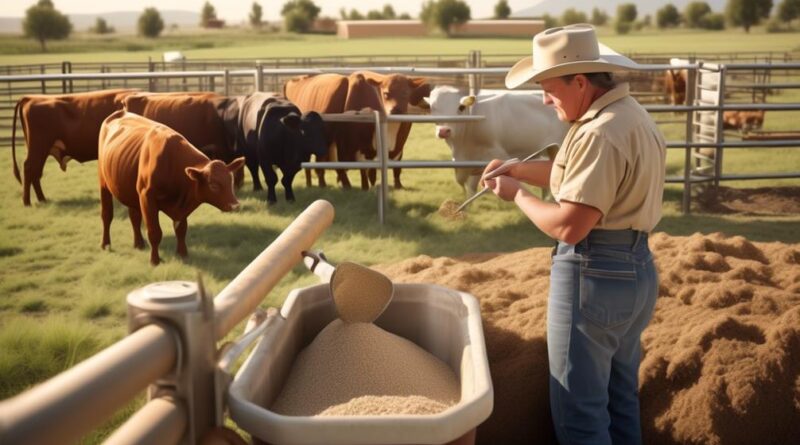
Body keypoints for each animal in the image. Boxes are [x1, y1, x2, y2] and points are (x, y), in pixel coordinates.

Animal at [96, 109, 242, 266]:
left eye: (231, 181)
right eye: (213, 185)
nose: (235, 205)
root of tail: (120, 112)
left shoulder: (180, 207)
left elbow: (181, 229)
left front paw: (183, 254)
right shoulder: (147, 197)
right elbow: (154, 232)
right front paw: (155, 260)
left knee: (134, 216)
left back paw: (139, 244)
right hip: (104, 184)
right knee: (107, 215)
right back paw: (105, 244)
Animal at [424, 86, 568, 195]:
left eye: (460, 107)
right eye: (431, 108)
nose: (444, 131)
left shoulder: (499, 154)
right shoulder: (474, 160)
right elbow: (471, 188)